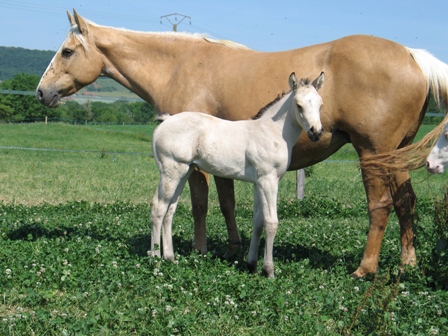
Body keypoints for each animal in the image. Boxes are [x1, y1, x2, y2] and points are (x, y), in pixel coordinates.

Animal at [151, 72, 326, 276]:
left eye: (320, 104)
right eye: (299, 105)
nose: (316, 132)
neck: (271, 132)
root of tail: (165, 121)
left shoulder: (259, 183)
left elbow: (258, 222)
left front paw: (252, 264)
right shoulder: (268, 181)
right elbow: (271, 222)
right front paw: (268, 270)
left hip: (183, 172)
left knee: (169, 210)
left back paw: (170, 258)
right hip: (171, 172)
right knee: (158, 208)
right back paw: (155, 260)